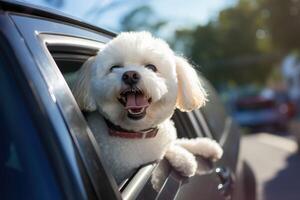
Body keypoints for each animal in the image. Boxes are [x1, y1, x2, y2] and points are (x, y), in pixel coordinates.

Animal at [72, 31, 223, 186]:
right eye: (114, 68)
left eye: (151, 67)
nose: (130, 75)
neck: (139, 133)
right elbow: (168, 150)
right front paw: (185, 159)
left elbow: (179, 142)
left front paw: (207, 146)